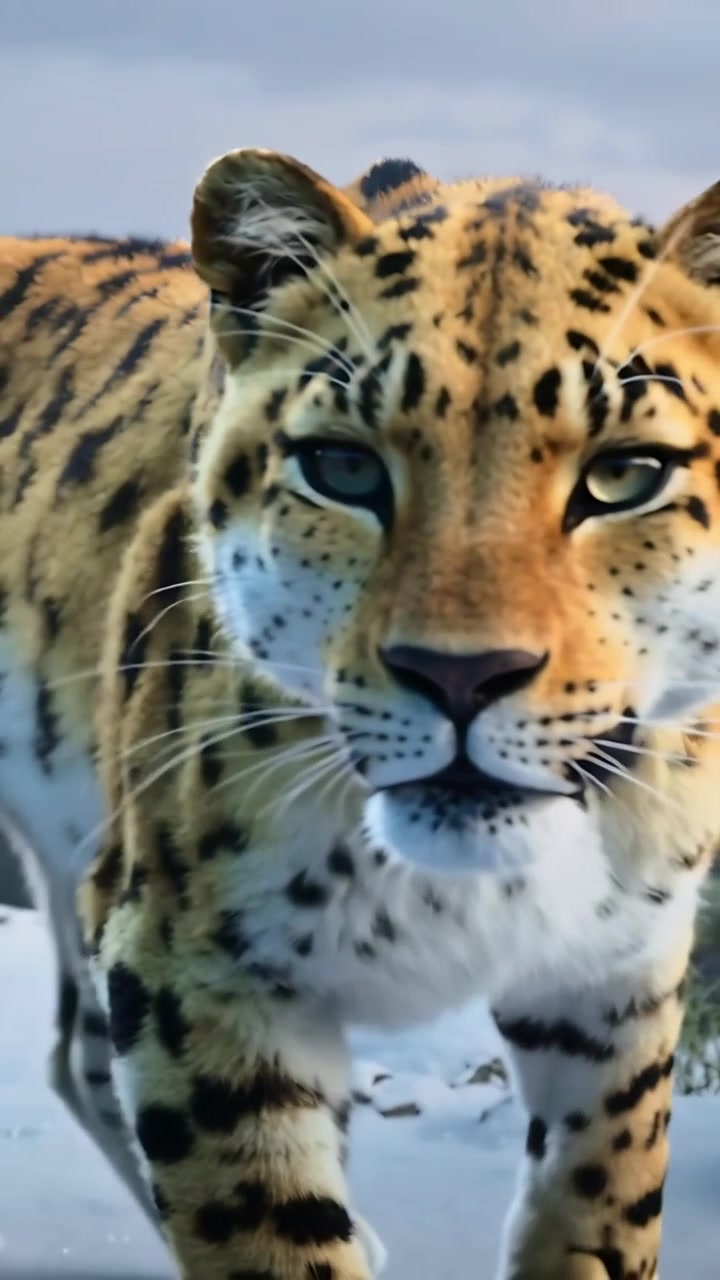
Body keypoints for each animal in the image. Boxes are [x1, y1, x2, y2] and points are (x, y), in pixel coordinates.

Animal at [2, 146, 720, 1280]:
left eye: (625, 474)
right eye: (341, 467)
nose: (461, 676)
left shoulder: (616, 978)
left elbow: (605, 1204)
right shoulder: (191, 963)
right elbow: (268, 1228)